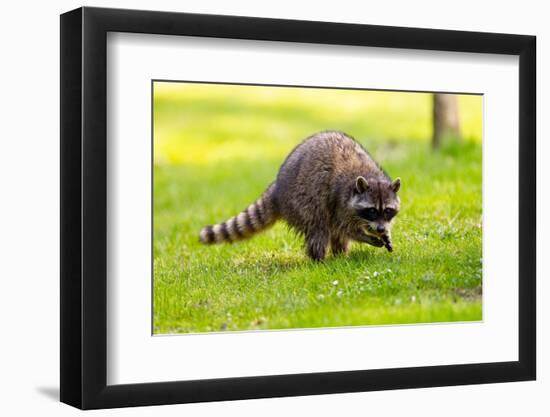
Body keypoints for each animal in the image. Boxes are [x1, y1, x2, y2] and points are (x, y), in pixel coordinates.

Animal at [199, 130, 402, 260]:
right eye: (372, 210)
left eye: (387, 211)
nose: (381, 229)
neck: (370, 176)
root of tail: (278, 188)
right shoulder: (341, 201)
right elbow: (345, 227)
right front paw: (366, 237)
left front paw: (383, 233)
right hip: (302, 200)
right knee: (319, 226)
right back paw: (319, 260)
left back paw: (340, 255)